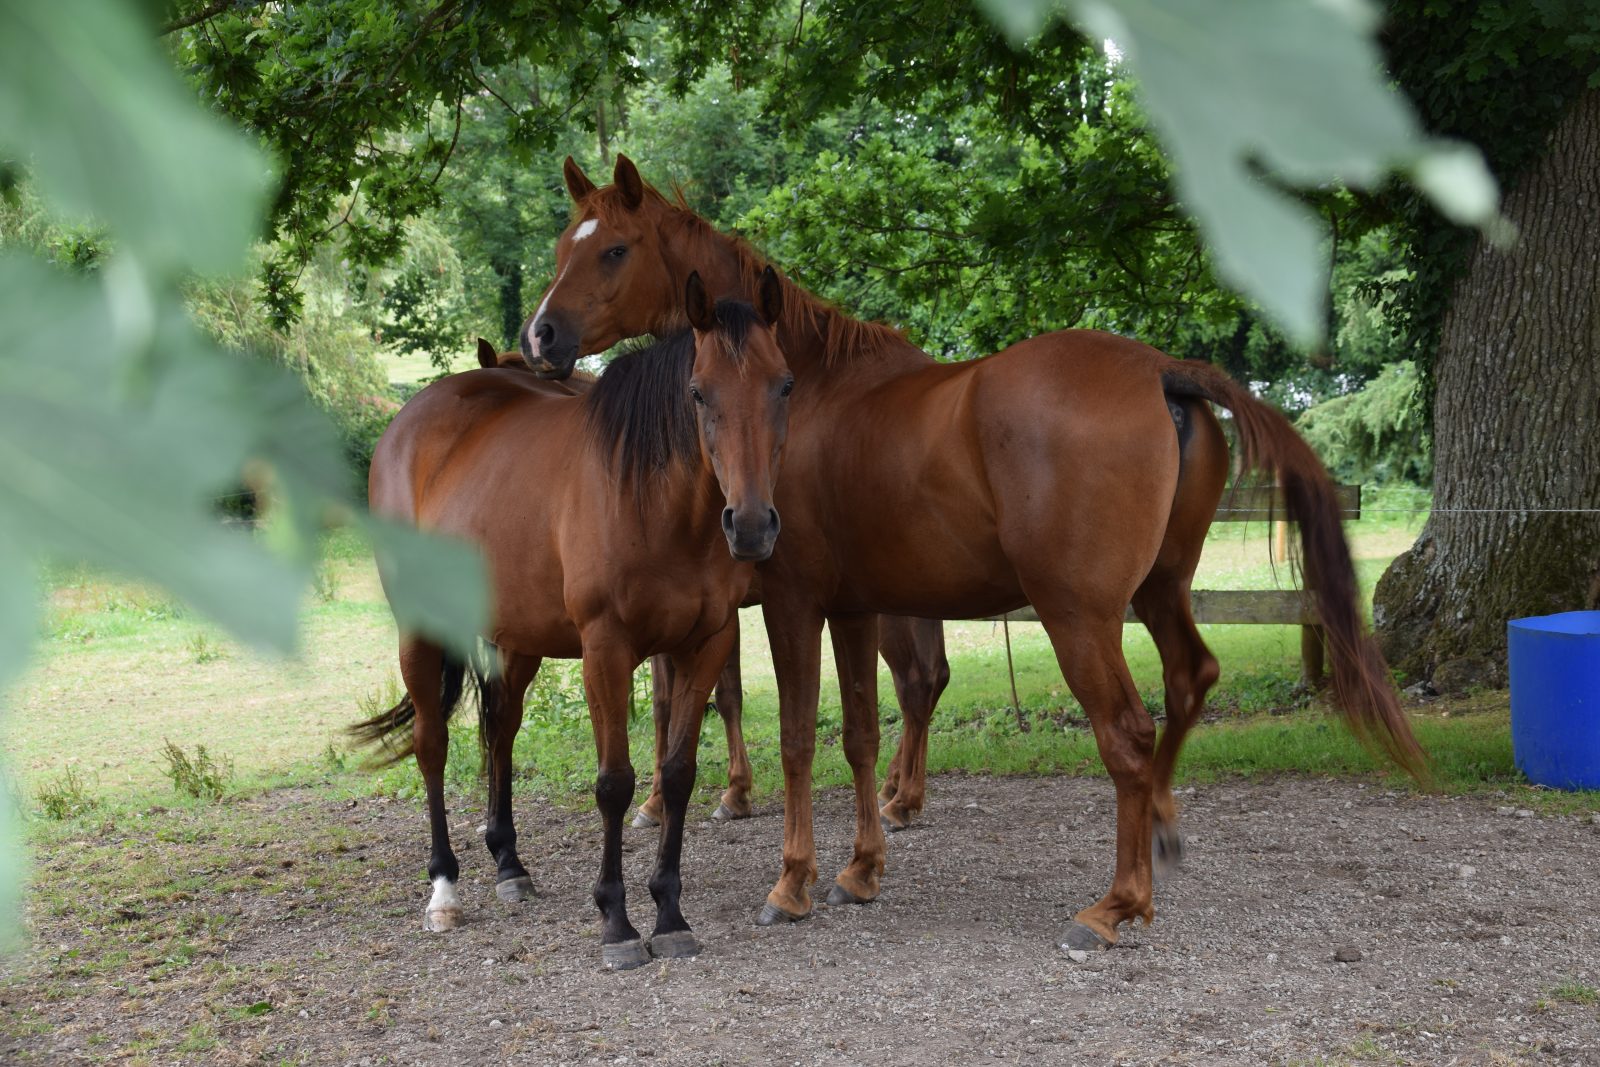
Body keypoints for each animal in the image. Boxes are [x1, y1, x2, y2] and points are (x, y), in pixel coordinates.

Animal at [355, 268, 793, 966]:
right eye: (698, 392)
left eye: (785, 384)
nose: (751, 525)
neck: (656, 503)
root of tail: (411, 422)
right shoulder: (605, 650)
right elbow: (614, 782)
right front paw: (617, 922)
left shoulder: (707, 642)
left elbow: (677, 774)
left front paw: (669, 913)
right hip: (420, 631)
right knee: (432, 744)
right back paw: (445, 888)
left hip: (519, 637)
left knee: (501, 728)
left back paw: (509, 865)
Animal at [473, 337, 947, 831]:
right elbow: (696, 700)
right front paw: (703, 794)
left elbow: (696, 701)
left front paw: (694, 797)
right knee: (931, 677)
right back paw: (897, 787)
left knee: (915, 683)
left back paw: (901, 798)